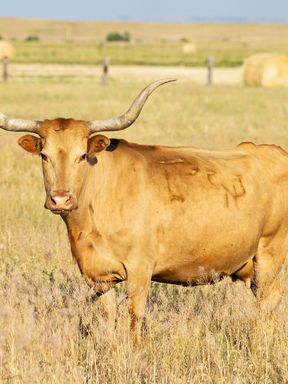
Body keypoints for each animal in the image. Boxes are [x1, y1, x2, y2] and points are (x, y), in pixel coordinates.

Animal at [0, 79, 288, 344]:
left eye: (81, 155)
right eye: (44, 156)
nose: (60, 199)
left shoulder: (140, 268)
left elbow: (134, 314)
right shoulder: (99, 276)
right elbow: (108, 317)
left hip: (269, 253)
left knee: (268, 301)